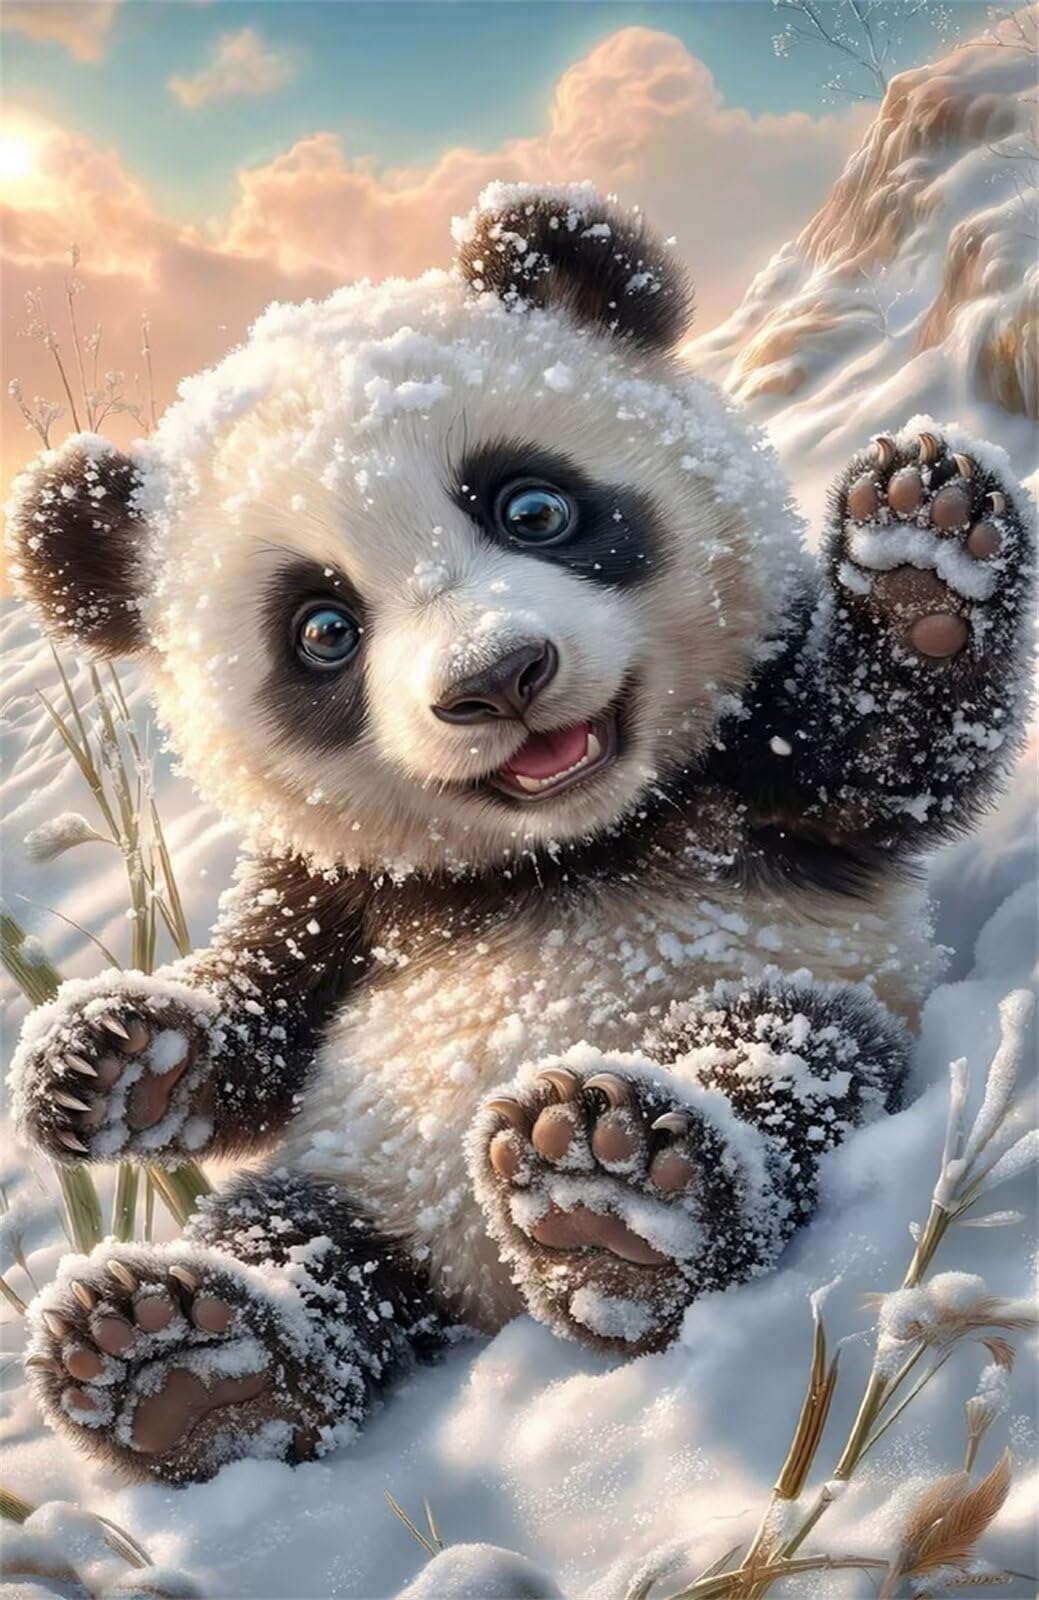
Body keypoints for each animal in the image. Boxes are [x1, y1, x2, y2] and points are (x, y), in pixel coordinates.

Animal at [8, 181, 1033, 1485]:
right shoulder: (331, 889)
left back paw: (608, 1198)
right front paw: (105, 1058)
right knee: (292, 1238)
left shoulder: (760, 768)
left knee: (774, 1062)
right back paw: (179, 1365)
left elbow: (887, 757)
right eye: (323, 628)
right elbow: (259, 1012)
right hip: (355, 1169)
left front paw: (918, 553)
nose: (497, 677)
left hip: (787, 996)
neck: (557, 853)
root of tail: (484, 1294)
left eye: (531, 506)